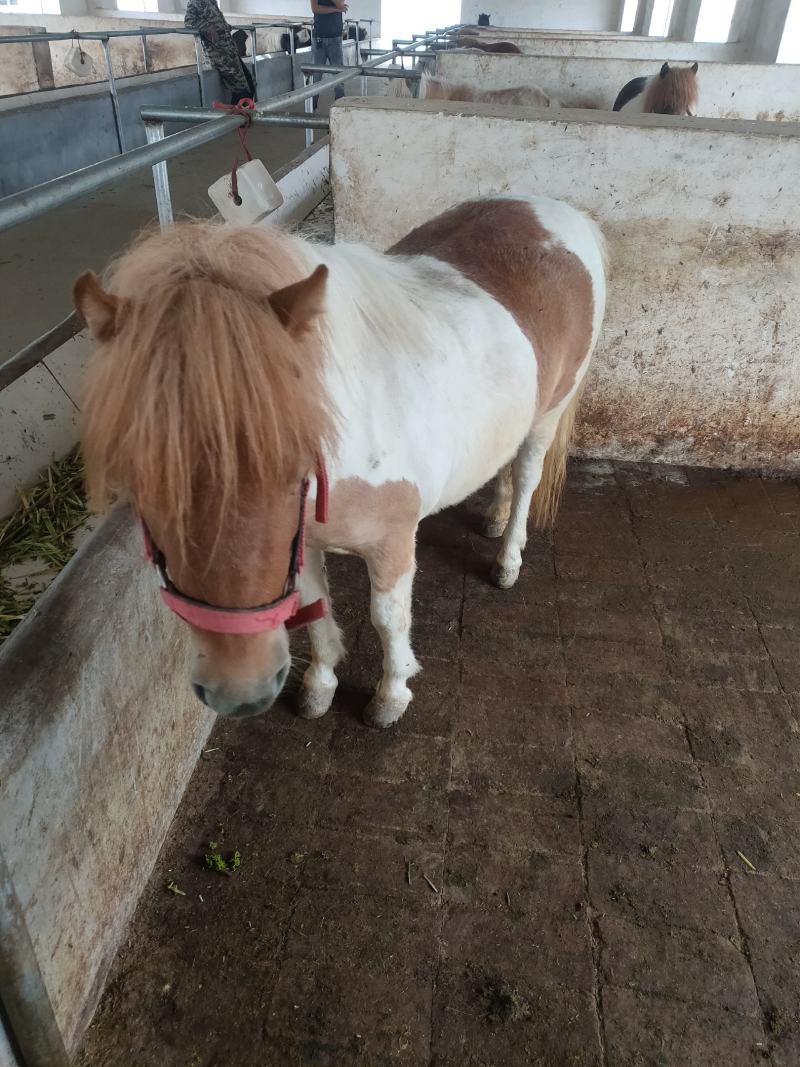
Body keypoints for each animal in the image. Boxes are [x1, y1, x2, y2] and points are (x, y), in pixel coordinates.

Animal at [74, 196, 606, 727]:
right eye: (139, 481)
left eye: (295, 467)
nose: (239, 689)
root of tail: (554, 210)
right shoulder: (301, 543)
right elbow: (315, 607)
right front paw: (319, 686)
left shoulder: (393, 544)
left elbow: (388, 620)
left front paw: (391, 696)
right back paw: (494, 517)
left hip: (550, 413)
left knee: (526, 475)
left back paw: (507, 559)